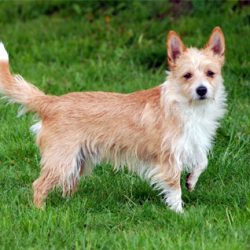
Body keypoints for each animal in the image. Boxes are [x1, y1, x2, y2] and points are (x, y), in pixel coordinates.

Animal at [0, 27, 227, 212]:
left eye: (211, 73)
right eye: (187, 75)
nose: (202, 90)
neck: (187, 105)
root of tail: (51, 102)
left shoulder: (193, 143)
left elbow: (202, 161)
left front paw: (191, 181)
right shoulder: (168, 157)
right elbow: (174, 187)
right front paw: (179, 212)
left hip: (78, 161)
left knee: (67, 185)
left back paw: (70, 205)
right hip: (61, 160)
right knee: (38, 185)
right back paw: (41, 212)